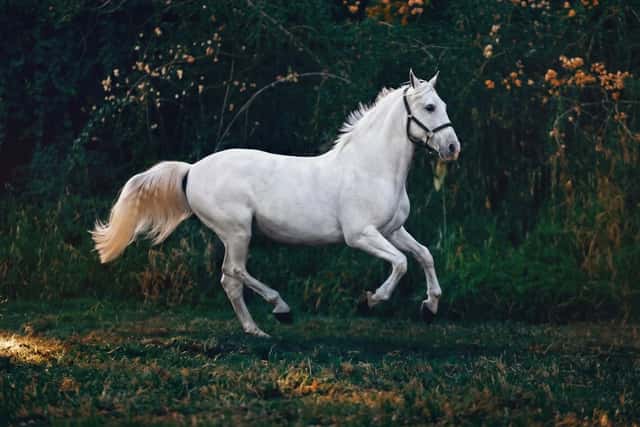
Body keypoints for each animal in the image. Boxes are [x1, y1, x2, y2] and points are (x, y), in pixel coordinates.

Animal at [91, 70, 461, 337]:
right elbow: (400, 263)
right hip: (238, 231)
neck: (371, 167)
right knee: (235, 272)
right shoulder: (360, 235)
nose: (452, 148)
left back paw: (255, 330)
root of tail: (192, 170)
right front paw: (370, 301)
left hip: (235, 234)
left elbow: (424, 255)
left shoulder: (392, 230)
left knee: (229, 279)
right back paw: (280, 309)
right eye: (430, 107)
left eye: (443, 104)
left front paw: (430, 308)